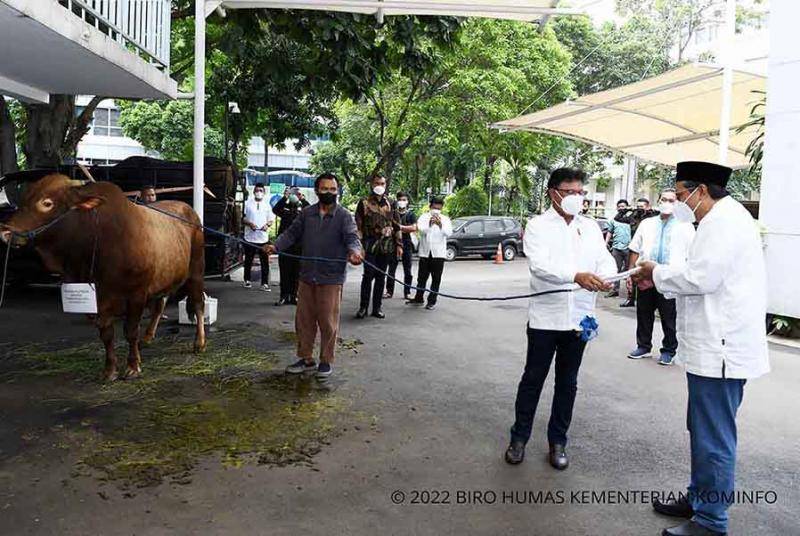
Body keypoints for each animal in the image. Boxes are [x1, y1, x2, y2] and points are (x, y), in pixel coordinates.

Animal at [0, 174, 206, 378]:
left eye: (47, 203)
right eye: (24, 198)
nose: (5, 230)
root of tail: (189, 210)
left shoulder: (136, 294)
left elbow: (130, 331)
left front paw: (133, 366)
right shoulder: (100, 300)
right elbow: (106, 334)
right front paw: (110, 370)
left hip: (196, 271)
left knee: (198, 304)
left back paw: (199, 343)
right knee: (160, 304)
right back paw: (147, 337)